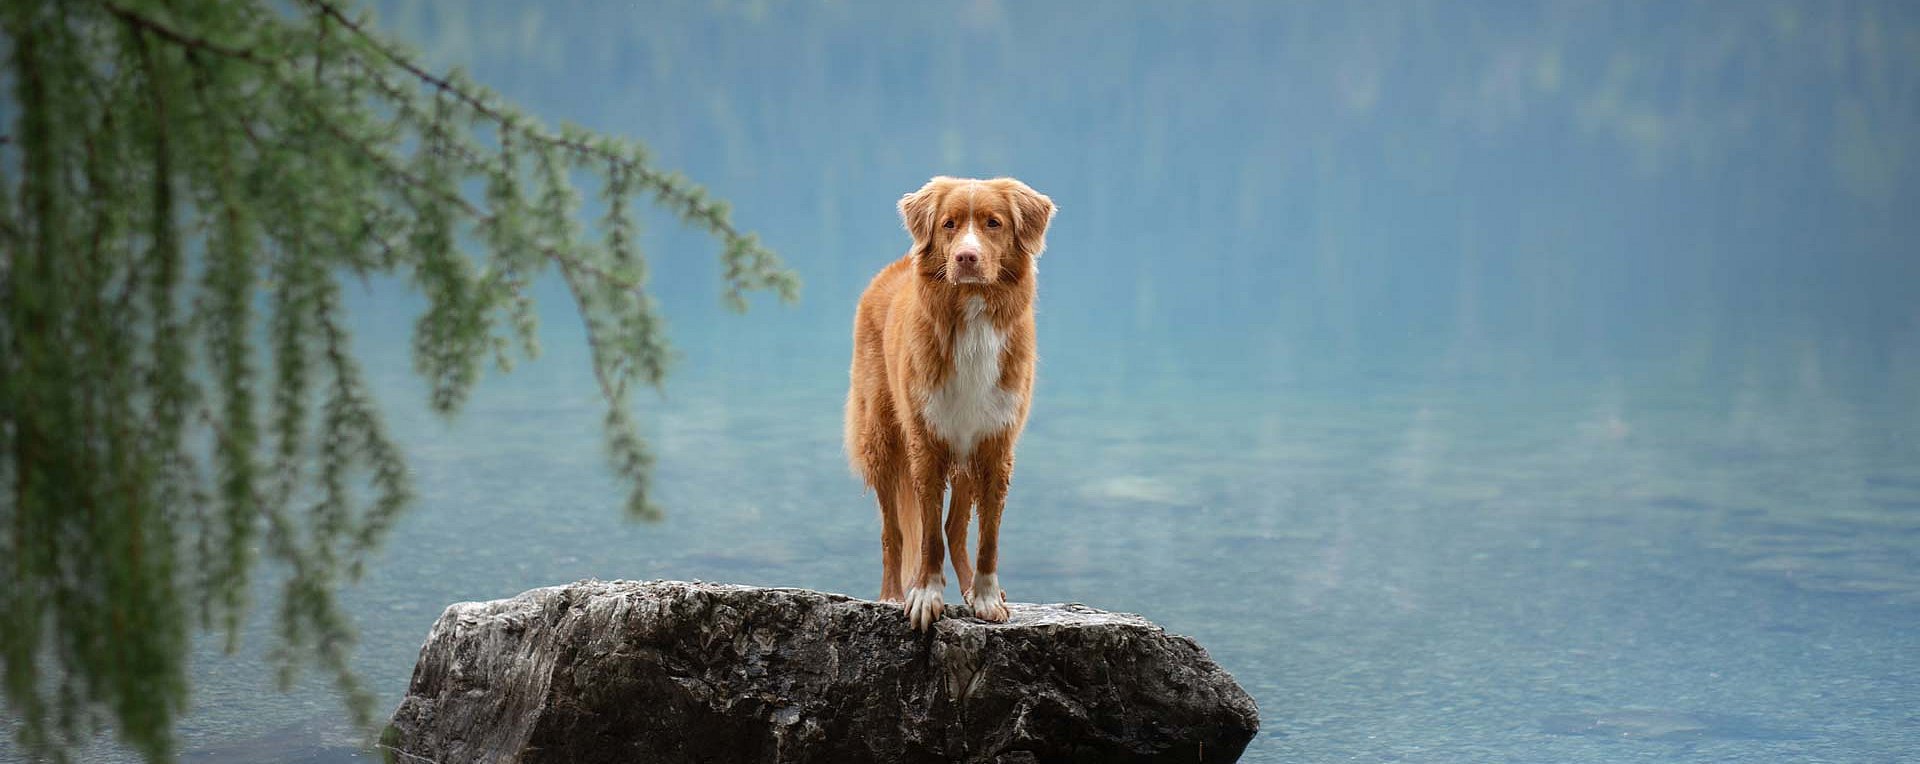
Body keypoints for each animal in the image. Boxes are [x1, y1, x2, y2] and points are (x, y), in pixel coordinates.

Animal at [840, 175, 1052, 629]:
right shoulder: (926, 443)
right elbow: (927, 535)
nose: (966, 258)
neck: (971, 317)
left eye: (993, 223)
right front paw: (925, 595)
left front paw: (986, 596)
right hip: (882, 438)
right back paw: (890, 595)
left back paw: (972, 589)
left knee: (956, 528)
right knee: (894, 532)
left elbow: (987, 536)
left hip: (966, 453)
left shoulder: (994, 446)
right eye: (949, 224)